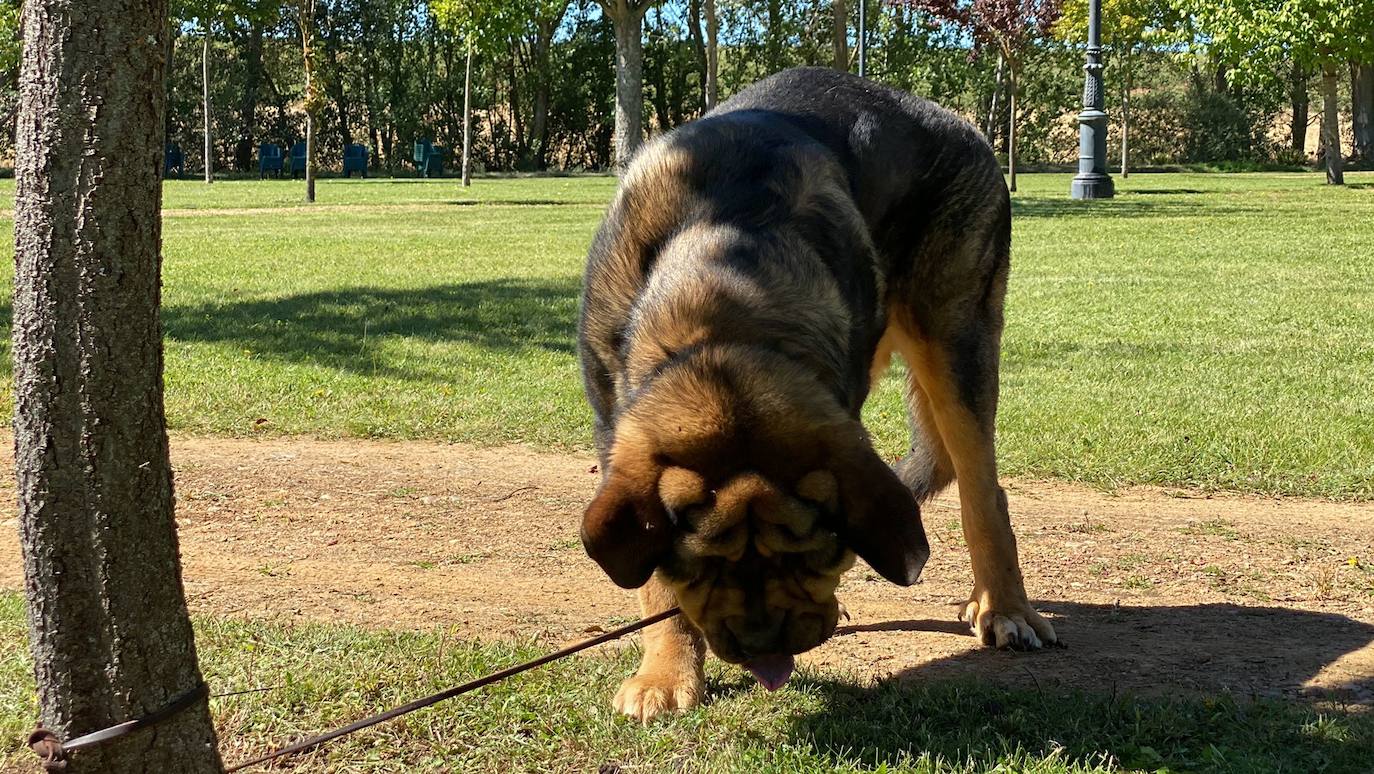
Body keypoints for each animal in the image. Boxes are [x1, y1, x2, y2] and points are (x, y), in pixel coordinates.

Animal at [574, 66, 1055, 720]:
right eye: (703, 566)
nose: (763, 645)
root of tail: (957, 122)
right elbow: (653, 581)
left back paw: (1004, 607)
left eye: (810, 556)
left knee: (982, 488)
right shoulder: (615, 431)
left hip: (957, 337)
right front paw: (664, 674)